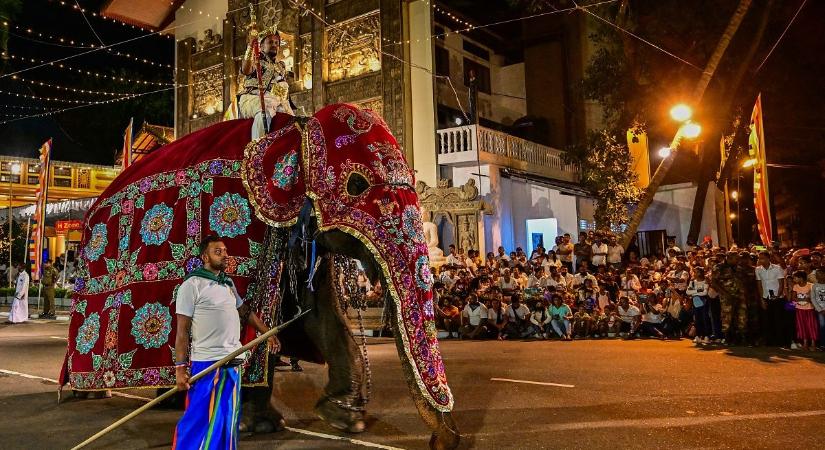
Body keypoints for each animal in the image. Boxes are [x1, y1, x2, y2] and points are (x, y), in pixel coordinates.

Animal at [59, 103, 458, 448]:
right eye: (356, 185)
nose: (442, 441)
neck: (293, 129)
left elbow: (320, 316)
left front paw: (346, 419)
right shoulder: (246, 234)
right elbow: (251, 321)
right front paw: (261, 425)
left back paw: (168, 399)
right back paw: (83, 391)